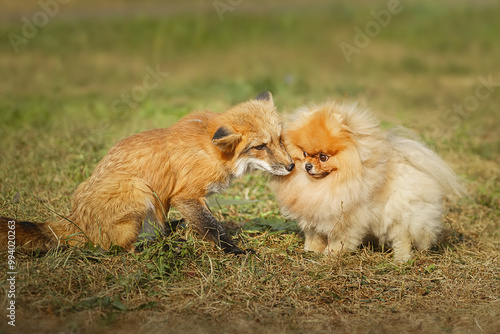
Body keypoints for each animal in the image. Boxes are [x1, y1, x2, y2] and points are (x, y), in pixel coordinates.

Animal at [1, 91, 294, 253]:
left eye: (280, 139)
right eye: (260, 147)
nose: (291, 166)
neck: (213, 151)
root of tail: (74, 220)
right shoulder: (186, 195)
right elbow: (213, 227)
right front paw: (235, 251)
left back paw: (172, 230)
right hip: (138, 189)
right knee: (120, 248)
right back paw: (164, 246)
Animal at [274, 100, 464, 262]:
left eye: (323, 157)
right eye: (305, 153)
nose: (307, 166)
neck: (327, 183)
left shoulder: (346, 219)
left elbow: (338, 238)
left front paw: (332, 253)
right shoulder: (315, 215)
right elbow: (314, 235)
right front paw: (311, 249)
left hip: (401, 214)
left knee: (403, 237)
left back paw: (402, 258)